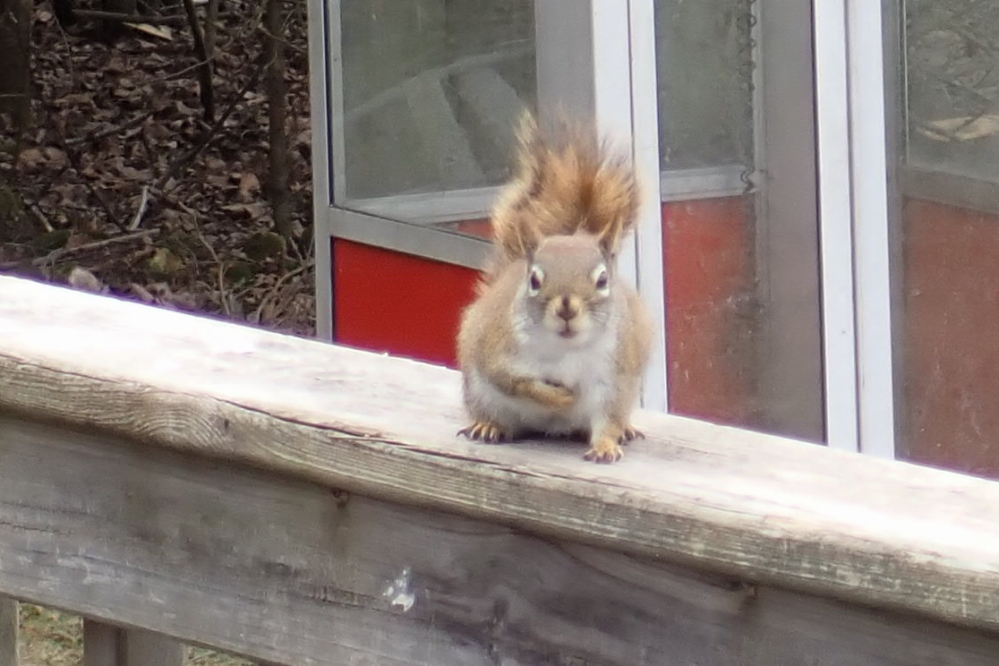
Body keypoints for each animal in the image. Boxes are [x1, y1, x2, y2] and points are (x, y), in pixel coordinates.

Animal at [457, 112, 653, 463]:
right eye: (534, 280)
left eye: (602, 280)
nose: (566, 309)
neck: (565, 349)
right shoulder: (498, 352)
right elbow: (514, 382)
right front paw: (558, 398)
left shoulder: (614, 378)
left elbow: (609, 417)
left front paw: (605, 445)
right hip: (479, 391)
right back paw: (488, 426)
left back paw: (626, 430)